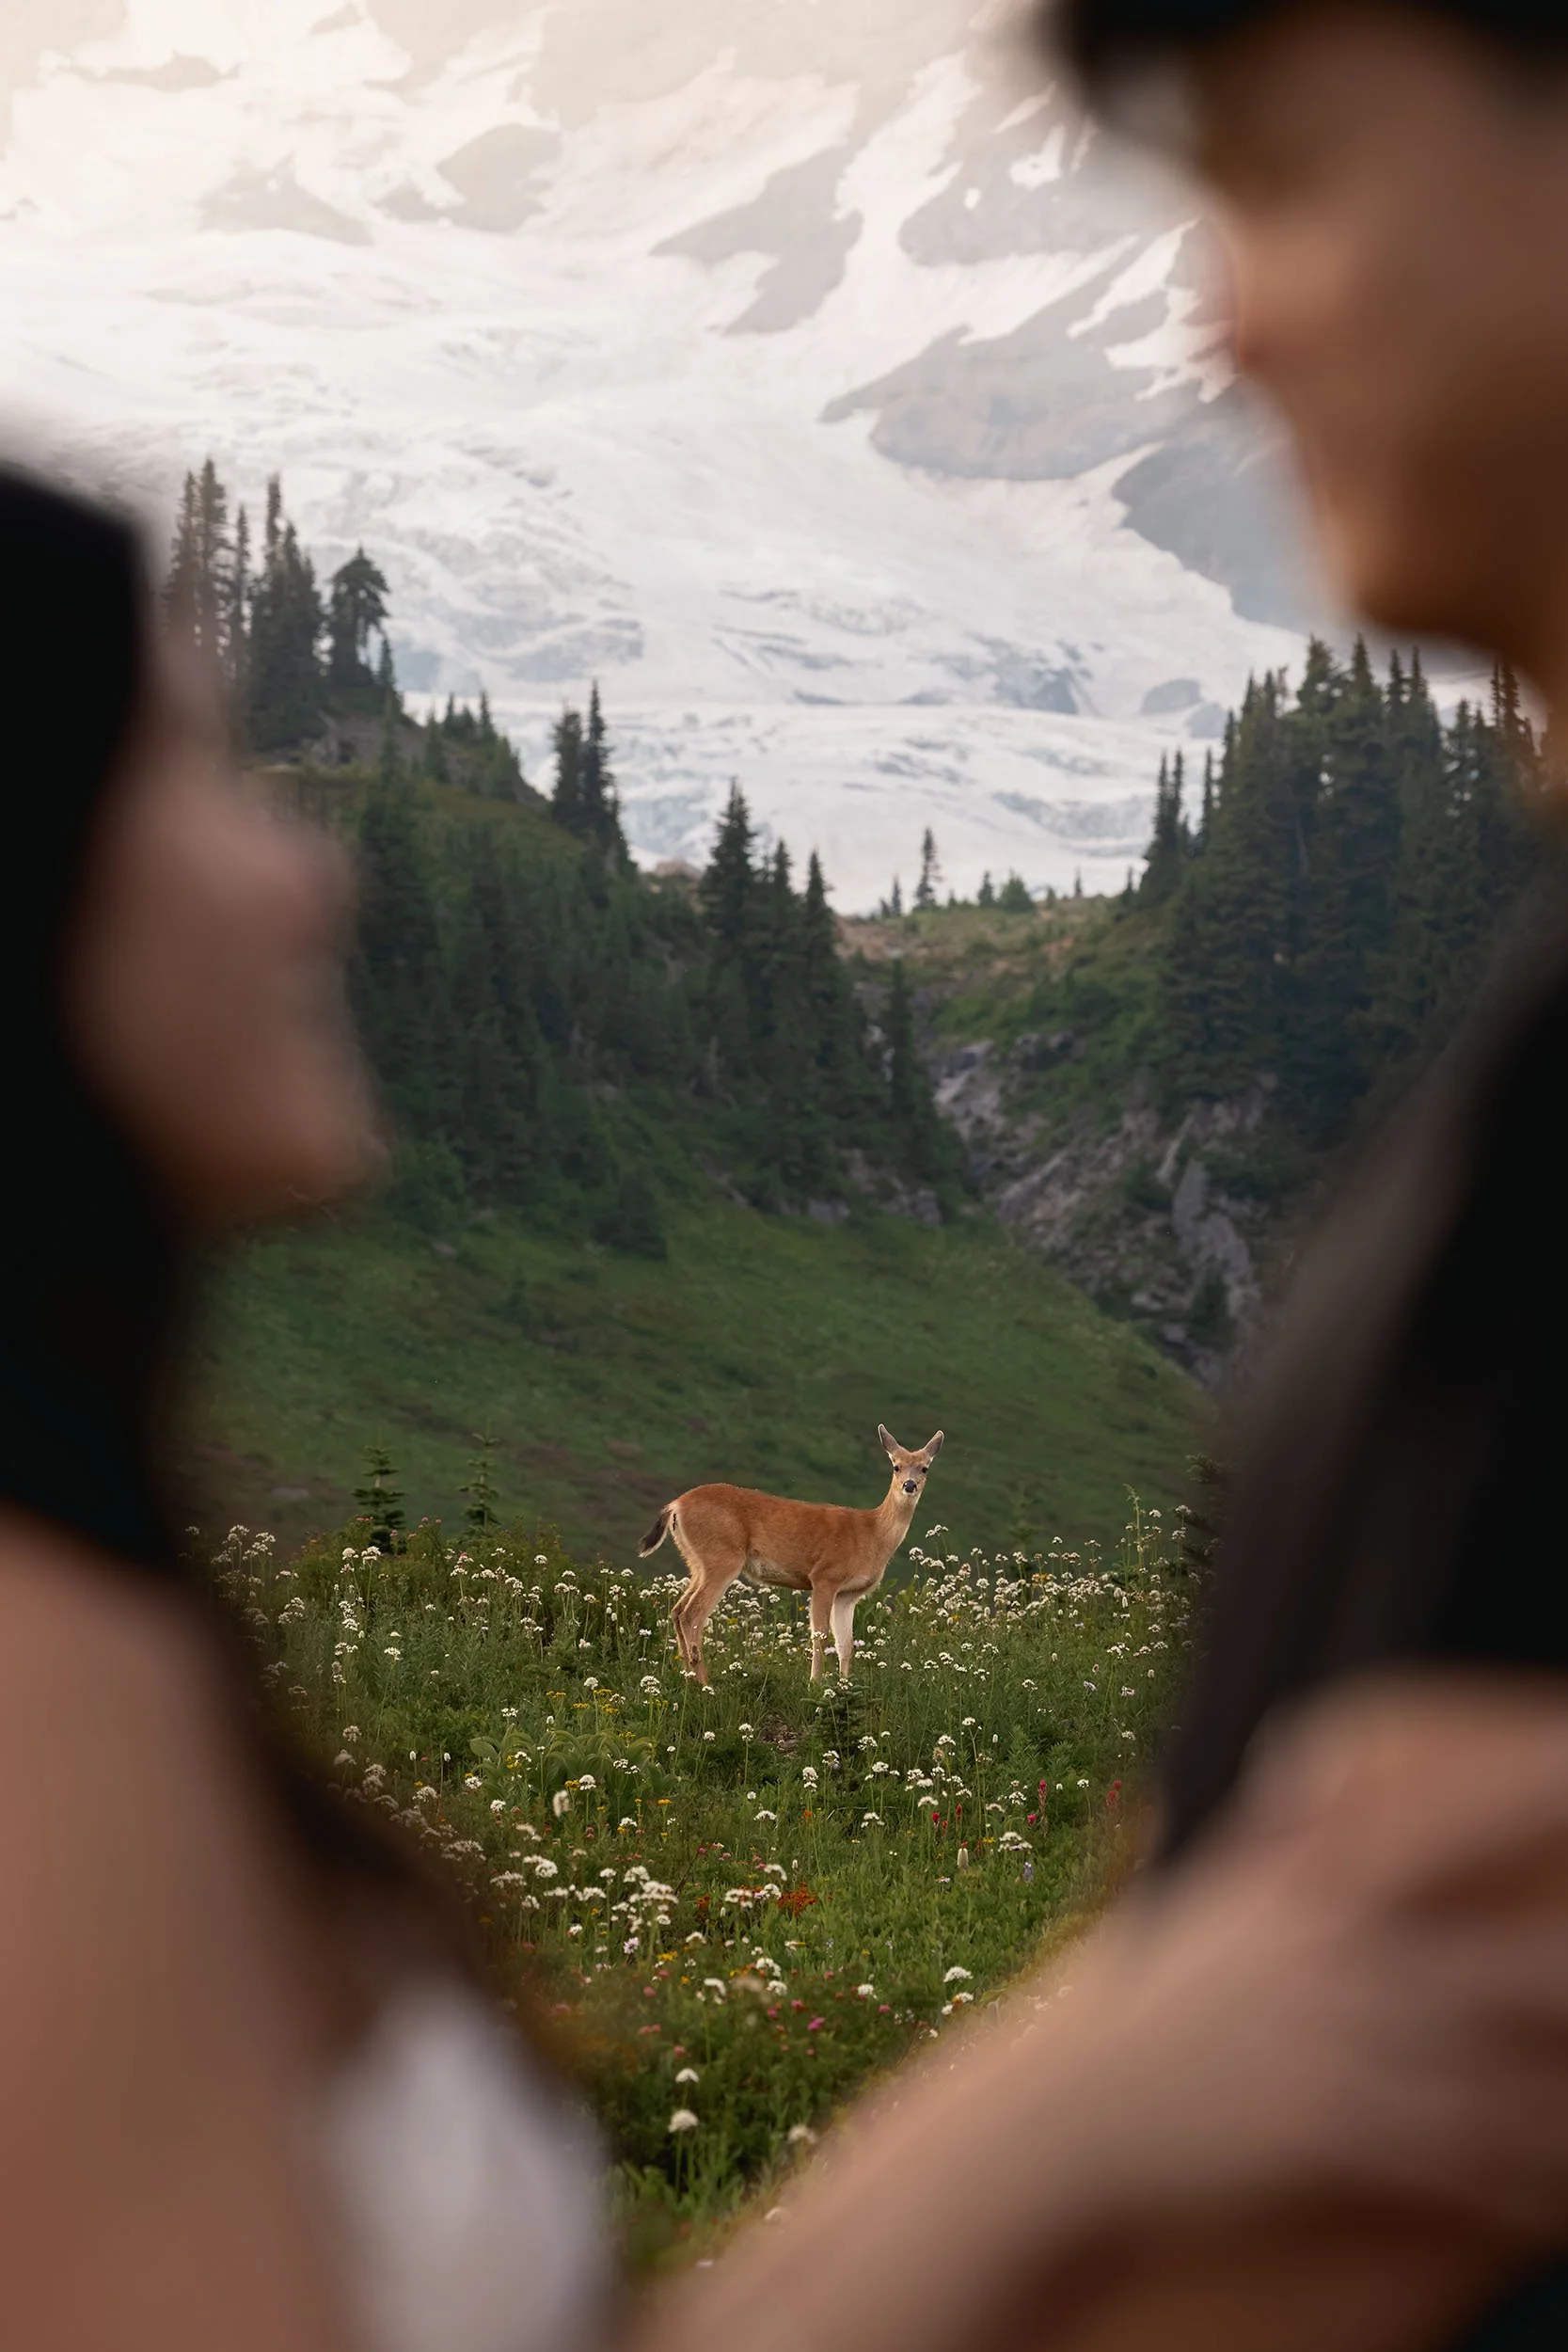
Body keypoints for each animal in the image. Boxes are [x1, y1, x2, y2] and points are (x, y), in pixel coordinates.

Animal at [639, 1425, 944, 1685]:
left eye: (925, 1468)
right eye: (896, 1466)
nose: (909, 1485)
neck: (872, 1534)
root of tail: (675, 1505)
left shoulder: (848, 1594)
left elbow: (846, 1643)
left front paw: (844, 1686)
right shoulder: (824, 1576)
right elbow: (821, 1635)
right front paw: (815, 1684)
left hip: (696, 1561)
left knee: (678, 1610)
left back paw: (688, 1677)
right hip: (722, 1556)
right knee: (693, 1614)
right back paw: (704, 1684)